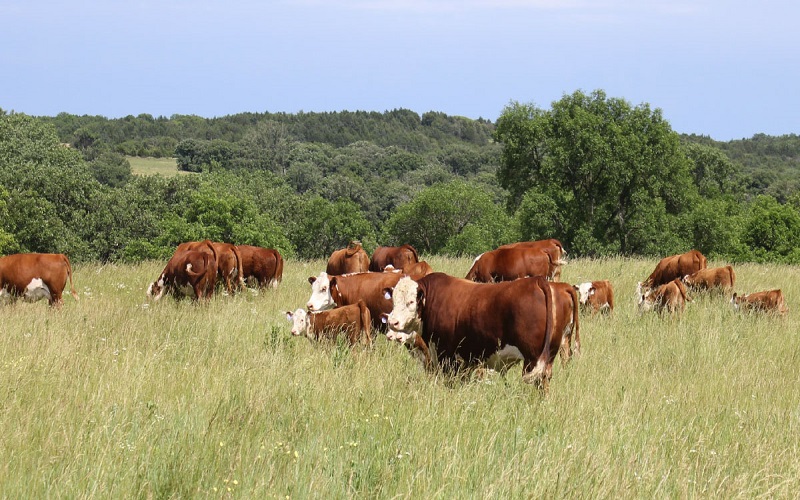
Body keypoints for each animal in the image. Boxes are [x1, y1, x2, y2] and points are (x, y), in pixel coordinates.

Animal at [383, 273, 557, 390]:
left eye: (411, 302)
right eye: (393, 301)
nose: (392, 322)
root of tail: (536, 281)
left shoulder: (447, 357)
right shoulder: (465, 362)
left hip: (532, 358)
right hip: (547, 358)